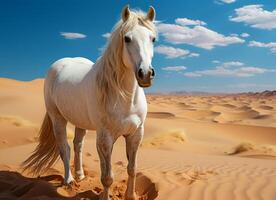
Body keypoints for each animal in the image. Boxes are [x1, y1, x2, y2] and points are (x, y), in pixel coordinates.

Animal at [22, 4, 156, 200]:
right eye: (127, 38)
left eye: (153, 39)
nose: (145, 74)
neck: (125, 98)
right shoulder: (105, 138)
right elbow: (107, 177)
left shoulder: (136, 134)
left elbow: (132, 169)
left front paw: (130, 196)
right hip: (57, 119)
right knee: (65, 148)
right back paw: (69, 180)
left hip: (80, 122)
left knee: (78, 145)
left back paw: (80, 175)